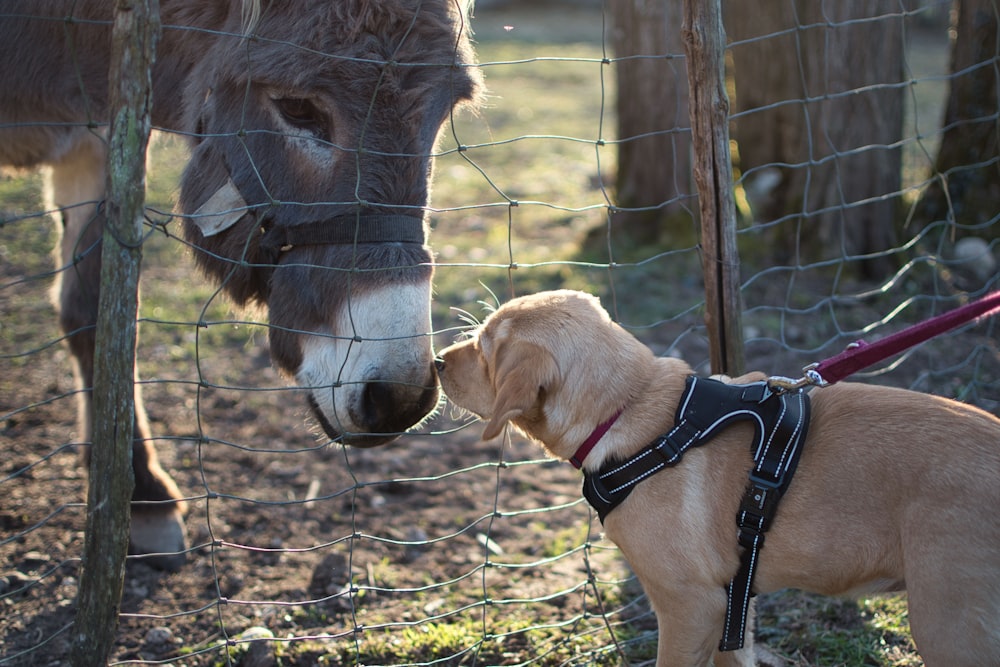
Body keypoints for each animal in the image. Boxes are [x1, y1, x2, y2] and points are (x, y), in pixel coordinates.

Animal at [436, 290, 1000, 667]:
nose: (437, 361)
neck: (633, 408)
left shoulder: (691, 606)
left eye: (484, 350)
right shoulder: (736, 600)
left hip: (949, 625)